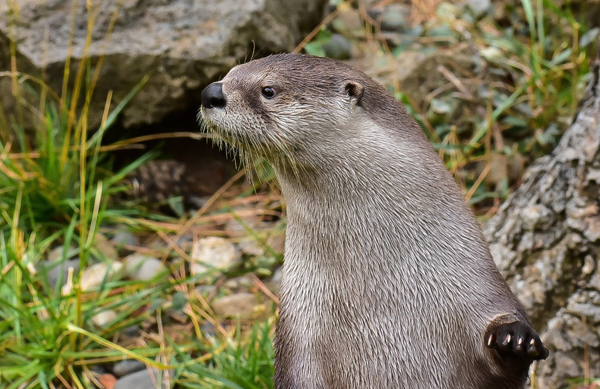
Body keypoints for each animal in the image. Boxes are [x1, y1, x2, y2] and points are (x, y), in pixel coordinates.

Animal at [200, 52, 548, 388]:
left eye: (269, 89)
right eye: (231, 72)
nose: (211, 92)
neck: (379, 294)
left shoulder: (477, 287)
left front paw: (515, 337)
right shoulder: (300, 332)